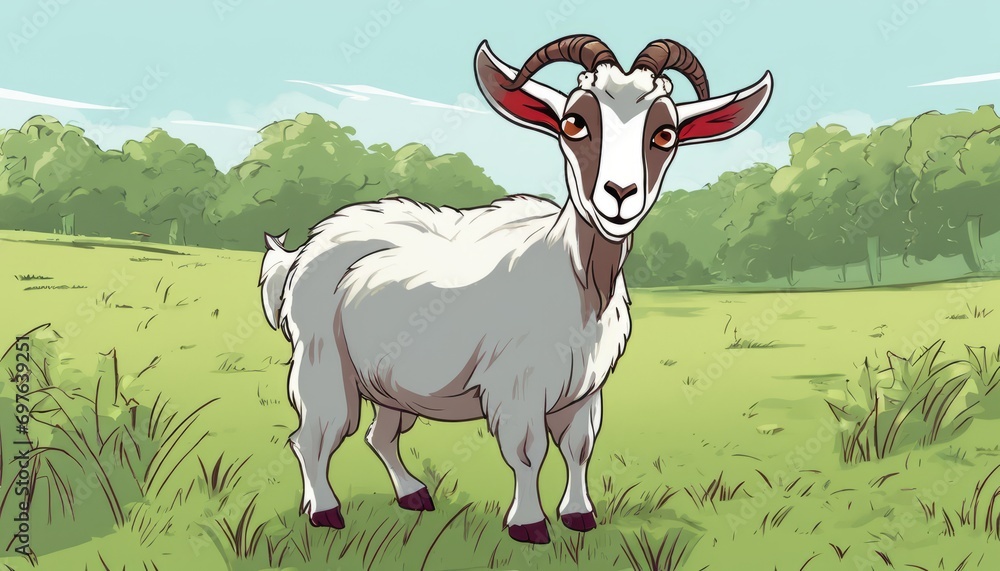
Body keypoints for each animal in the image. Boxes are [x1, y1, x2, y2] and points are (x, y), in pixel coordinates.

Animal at [260, 35, 772, 544]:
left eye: (665, 133)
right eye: (574, 122)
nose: (620, 194)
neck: (577, 280)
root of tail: (305, 249)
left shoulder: (584, 389)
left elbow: (579, 448)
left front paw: (579, 516)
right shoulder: (516, 385)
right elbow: (528, 452)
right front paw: (529, 524)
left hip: (390, 380)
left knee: (379, 435)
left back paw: (413, 495)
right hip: (324, 360)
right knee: (314, 435)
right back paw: (325, 511)